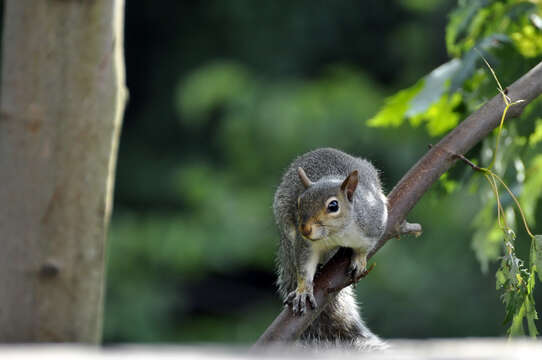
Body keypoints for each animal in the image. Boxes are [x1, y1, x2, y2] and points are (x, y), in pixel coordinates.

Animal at [274, 146, 388, 348]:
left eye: (333, 206)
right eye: (299, 203)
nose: (304, 228)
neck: (339, 234)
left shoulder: (375, 223)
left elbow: (365, 247)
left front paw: (359, 260)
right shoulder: (306, 244)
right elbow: (304, 266)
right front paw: (303, 290)